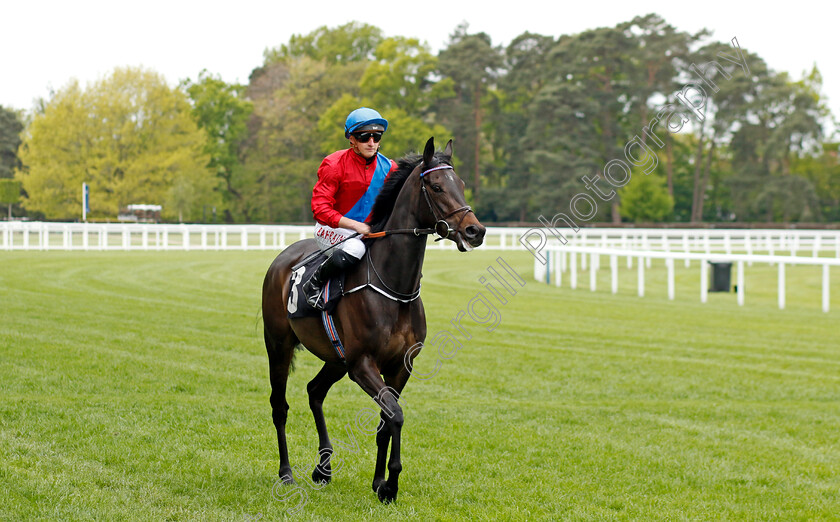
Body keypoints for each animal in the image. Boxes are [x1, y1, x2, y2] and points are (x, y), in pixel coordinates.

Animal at [262, 136, 486, 502]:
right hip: (279, 344)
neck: (394, 288)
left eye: (462, 185)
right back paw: (286, 473)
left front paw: (380, 482)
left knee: (314, 391)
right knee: (279, 406)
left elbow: (386, 420)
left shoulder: (399, 365)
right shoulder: (363, 364)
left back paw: (323, 468)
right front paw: (390, 484)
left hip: (335, 358)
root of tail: (283, 258)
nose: (475, 230)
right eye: (437, 186)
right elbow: (395, 415)